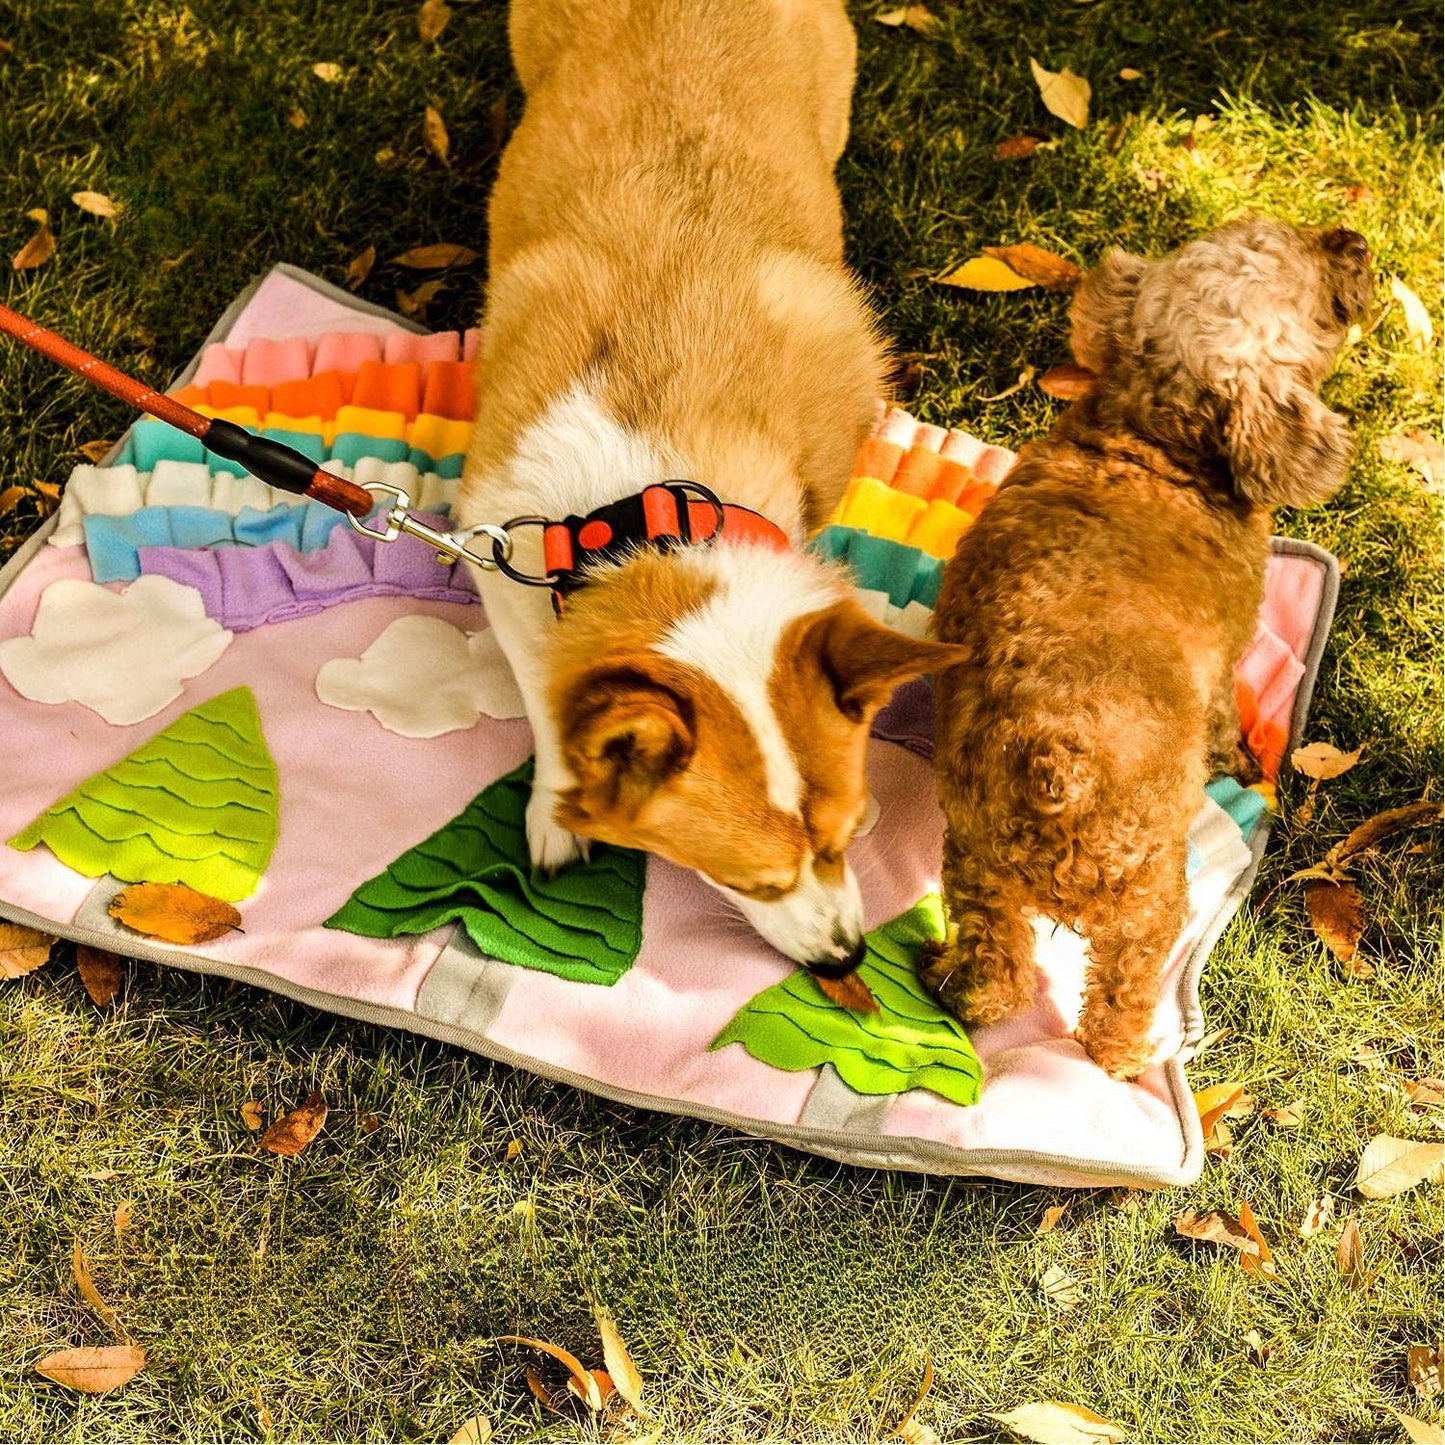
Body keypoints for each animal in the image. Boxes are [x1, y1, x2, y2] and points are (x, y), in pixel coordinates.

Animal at [462, 0, 959, 976]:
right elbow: (546, 695)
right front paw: (556, 806)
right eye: (751, 882)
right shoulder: (501, 562)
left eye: (844, 838)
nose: (846, 959)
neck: (648, 511)